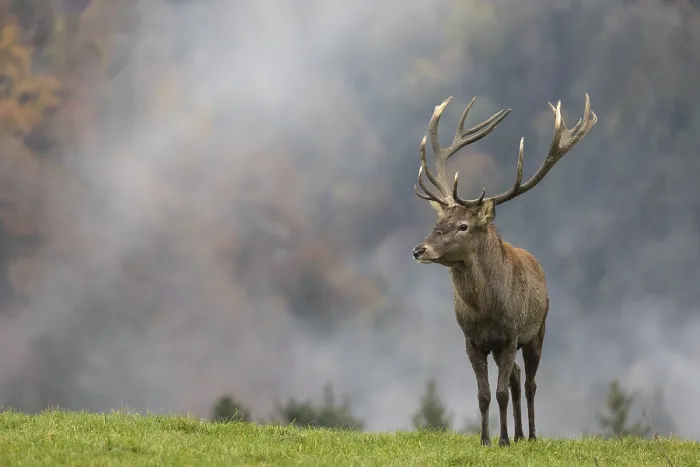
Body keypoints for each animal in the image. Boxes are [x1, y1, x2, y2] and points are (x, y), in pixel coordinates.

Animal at [411, 93, 597, 446]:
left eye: (463, 226)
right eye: (439, 221)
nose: (419, 250)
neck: (486, 311)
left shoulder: (511, 335)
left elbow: (499, 393)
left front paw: (502, 441)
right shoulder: (472, 341)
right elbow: (484, 394)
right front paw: (486, 439)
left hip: (538, 329)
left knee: (528, 382)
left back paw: (531, 435)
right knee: (516, 378)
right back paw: (520, 432)